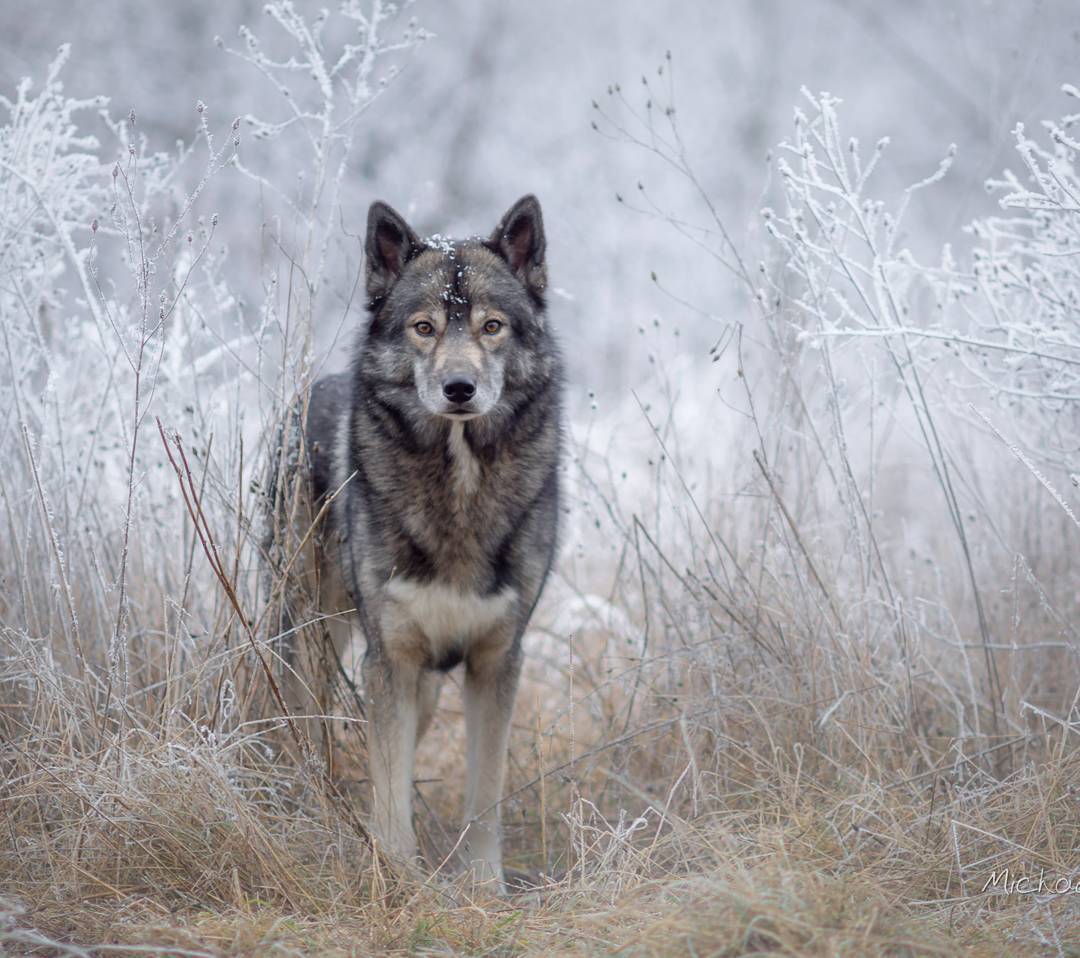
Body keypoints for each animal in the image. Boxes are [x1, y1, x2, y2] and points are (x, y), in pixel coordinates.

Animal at [278, 196, 561, 889]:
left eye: (492, 326)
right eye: (424, 328)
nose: (459, 388)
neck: (458, 483)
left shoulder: (495, 661)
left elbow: (484, 793)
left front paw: (484, 888)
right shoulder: (392, 661)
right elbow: (387, 791)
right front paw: (398, 879)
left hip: (426, 684)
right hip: (314, 636)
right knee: (306, 722)